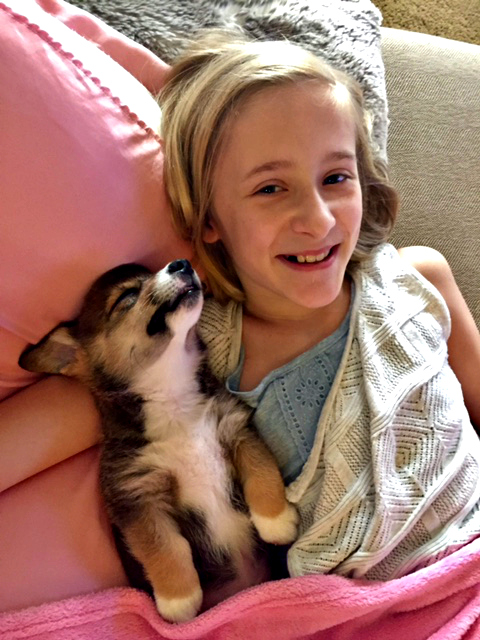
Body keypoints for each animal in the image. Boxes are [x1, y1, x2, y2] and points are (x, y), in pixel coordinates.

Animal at [19, 259, 298, 623]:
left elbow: (261, 472)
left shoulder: (236, 429)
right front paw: (178, 601)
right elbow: (163, 547)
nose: (181, 263)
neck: (173, 396)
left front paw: (276, 522)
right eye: (127, 296)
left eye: (152, 270)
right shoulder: (136, 495)